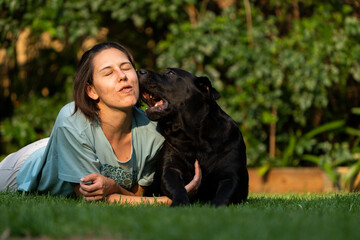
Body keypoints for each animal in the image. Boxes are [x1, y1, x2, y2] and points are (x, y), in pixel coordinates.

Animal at [137, 68, 248, 206]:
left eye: (170, 73)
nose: (139, 70)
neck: (195, 139)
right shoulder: (171, 169)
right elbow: (177, 187)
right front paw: (180, 202)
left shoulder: (230, 176)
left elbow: (224, 196)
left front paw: (215, 207)